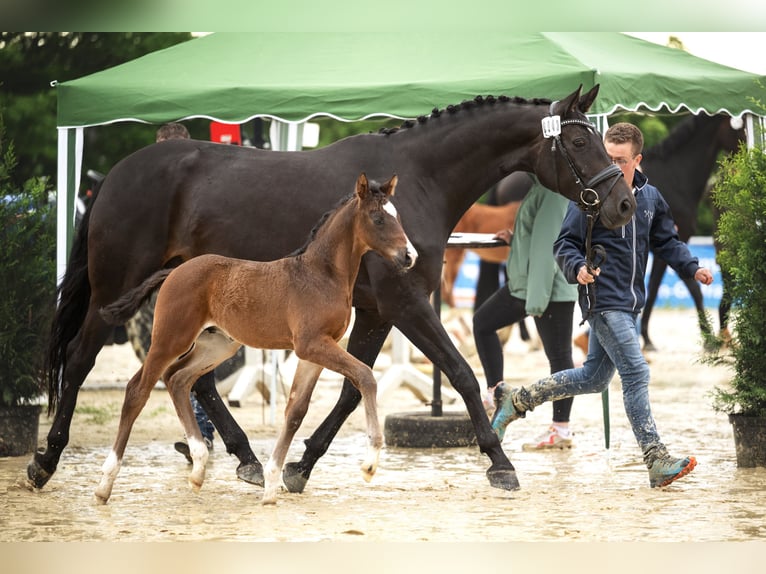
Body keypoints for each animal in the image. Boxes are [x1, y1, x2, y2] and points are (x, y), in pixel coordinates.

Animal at [97, 174, 420, 504]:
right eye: (378, 219)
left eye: (398, 217)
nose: (410, 256)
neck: (322, 275)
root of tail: (174, 270)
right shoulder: (312, 344)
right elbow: (365, 376)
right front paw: (370, 463)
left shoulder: (314, 352)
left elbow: (296, 411)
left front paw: (272, 482)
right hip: (170, 338)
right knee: (138, 389)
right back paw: (105, 484)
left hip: (218, 344)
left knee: (178, 379)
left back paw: (198, 468)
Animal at [640, 113, 744, 352]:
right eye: (740, 128)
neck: (673, 176)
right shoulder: (672, 243)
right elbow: (694, 287)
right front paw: (708, 338)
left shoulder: (664, 248)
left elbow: (653, 288)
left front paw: (647, 339)